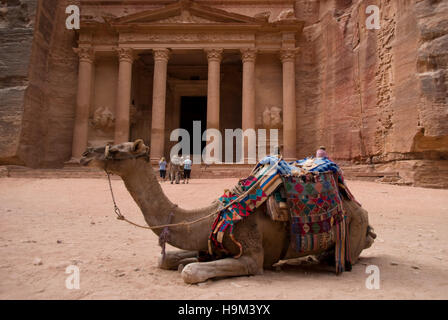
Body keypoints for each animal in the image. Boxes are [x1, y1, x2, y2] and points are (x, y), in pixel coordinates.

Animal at [80, 139, 374, 282]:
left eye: (116, 151)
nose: (85, 154)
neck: (214, 215)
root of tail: (362, 213)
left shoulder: (252, 255)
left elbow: (190, 272)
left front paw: (188, 267)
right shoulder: (208, 244)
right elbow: (167, 260)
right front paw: (182, 260)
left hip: (351, 236)